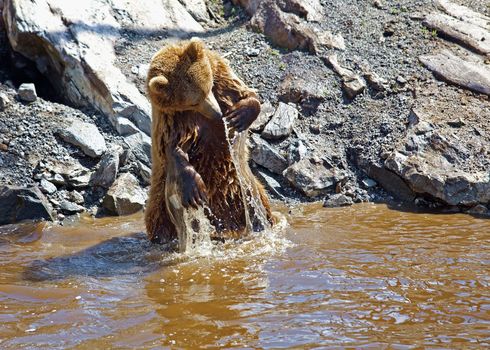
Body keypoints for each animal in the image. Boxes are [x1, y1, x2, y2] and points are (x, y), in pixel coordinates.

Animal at [145, 39, 276, 246]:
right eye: (193, 102)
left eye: (209, 86)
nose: (217, 113)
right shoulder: (173, 120)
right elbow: (176, 150)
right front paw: (195, 189)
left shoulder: (222, 76)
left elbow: (245, 92)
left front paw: (239, 115)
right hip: (161, 195)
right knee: (160, 218)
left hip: (244, 189)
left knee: (259, 204)